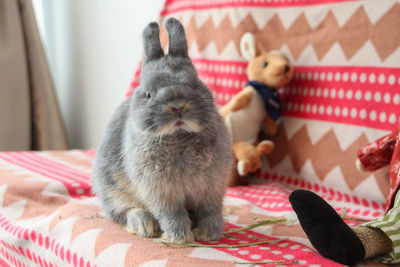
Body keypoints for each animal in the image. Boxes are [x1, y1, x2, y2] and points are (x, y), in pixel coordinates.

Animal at [91, 17, 233, 245]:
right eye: (149, 93)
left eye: (195, 84)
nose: (177, 106)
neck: (178, 136)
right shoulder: (162, 194)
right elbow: (172, 215)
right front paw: (180, 238)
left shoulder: (212, 189)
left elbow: (210, 211)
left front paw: (210, 234)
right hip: (111, 190)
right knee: (124, 212)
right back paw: (144, 226)